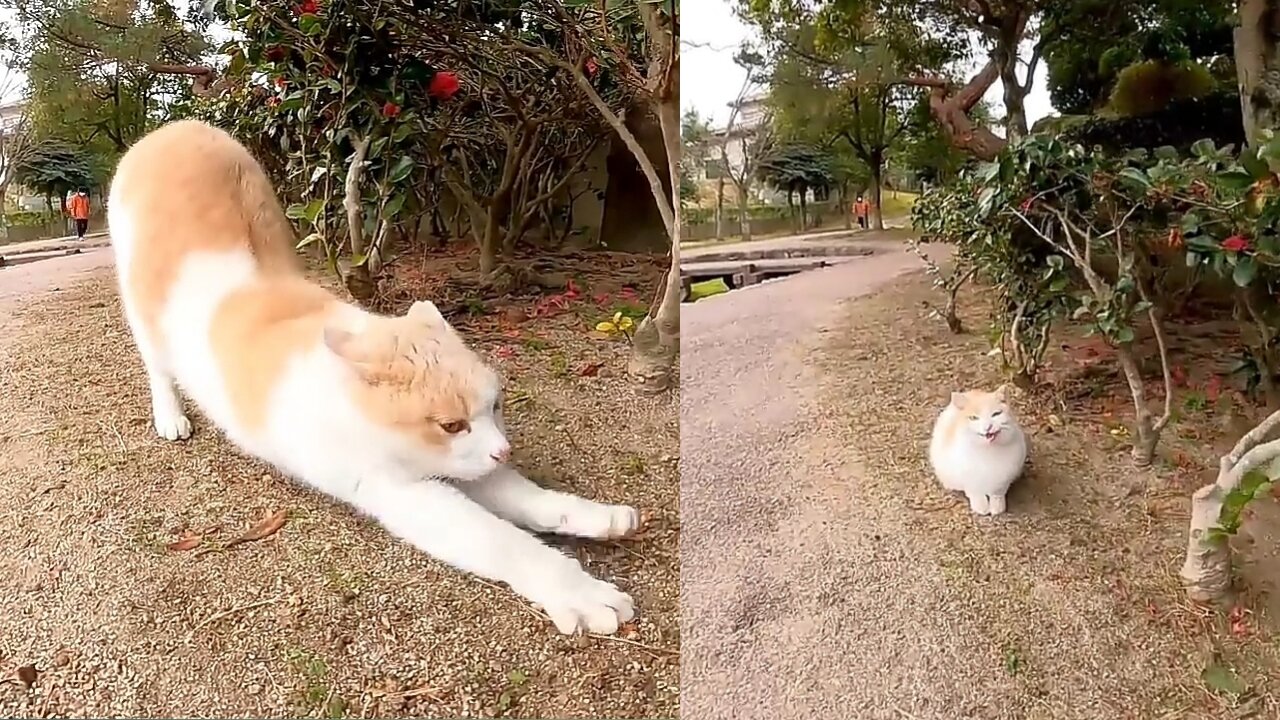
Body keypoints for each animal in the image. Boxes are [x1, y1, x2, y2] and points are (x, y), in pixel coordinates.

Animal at [107, 119, 637, 632]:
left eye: (496, 406)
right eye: (451, 425)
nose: (504, 450)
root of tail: (177, 127)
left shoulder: (460, 465)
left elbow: (527, 497)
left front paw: (593, 516)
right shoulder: (403, 490)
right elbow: (501, 540)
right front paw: (576, 590)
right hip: (139, 306)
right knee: (157, 364)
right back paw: (171, 416)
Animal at [926, 384, 1024, 512]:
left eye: (996, 414)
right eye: (973, 418)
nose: (988, 427)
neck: (988, 451)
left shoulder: (1004, 477)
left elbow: (997, 492)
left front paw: (997, 506)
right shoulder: (969, 477)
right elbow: (975, 491)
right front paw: (981, 506)